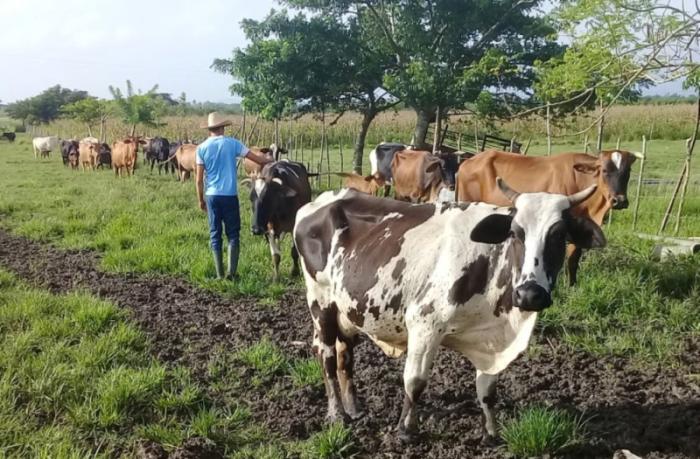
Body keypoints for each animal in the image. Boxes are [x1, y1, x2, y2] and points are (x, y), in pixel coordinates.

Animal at [292, 181, 604, 446]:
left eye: (559, 236)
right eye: (516, 233)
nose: (530, 293)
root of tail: (321, 200)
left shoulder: (489, 339)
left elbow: (487, 391)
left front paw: (491, 432)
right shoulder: (424, 322)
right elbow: (415, 381)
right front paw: (405, 431)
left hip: (347, 309)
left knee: (345, 354)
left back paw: (354, 408)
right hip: (320, 302)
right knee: (326, 356)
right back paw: (337, 414)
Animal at [454, 149, 640, 284]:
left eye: (628, 171)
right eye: (604, 170)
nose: (619, 200)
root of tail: (467, 162)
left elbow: (573, 260)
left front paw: (572, 286)